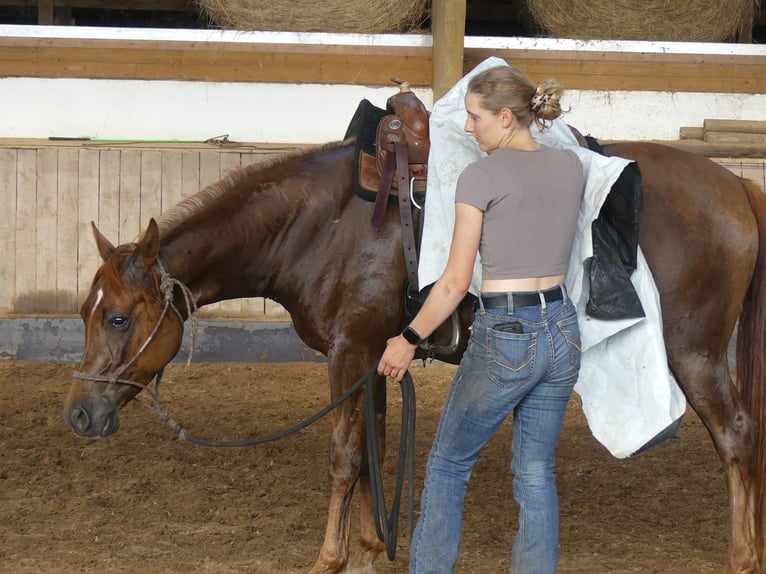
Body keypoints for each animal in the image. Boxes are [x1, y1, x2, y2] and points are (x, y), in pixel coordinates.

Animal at [66, 141, 766, 574]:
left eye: (119, 316)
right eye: (84, 312)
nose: (79, 414)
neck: (318, 225)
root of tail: (734, 183)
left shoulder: (348, 354)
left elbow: (344, 459)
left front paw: (329, 559)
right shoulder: (374, 357)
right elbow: (371, 453)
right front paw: (371, 550)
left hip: (695, 353)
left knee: (737, 436)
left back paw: (741, 555)